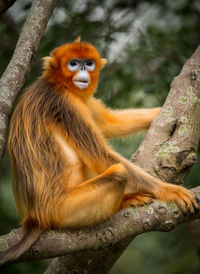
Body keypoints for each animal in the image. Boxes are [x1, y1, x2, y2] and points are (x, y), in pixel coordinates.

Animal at [0, 37, 198, 266]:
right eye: (73, 63)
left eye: (89, 63)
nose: (83, 70)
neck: (58, 84)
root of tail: (34, 218)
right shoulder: (66, 105)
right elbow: (100, 156)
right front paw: (169, 191)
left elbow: (108, 123)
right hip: (62, 210)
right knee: (118, 173)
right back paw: (123, 202)